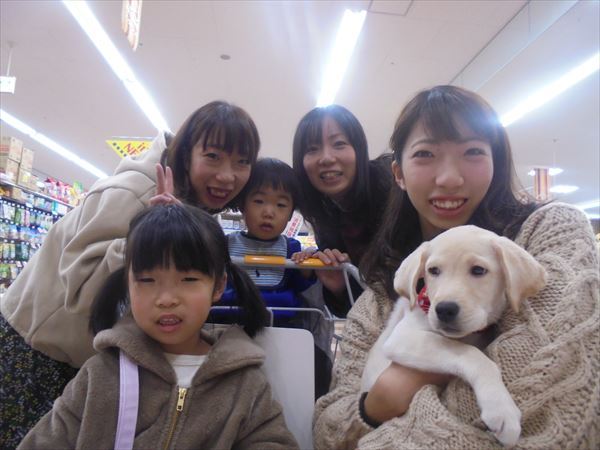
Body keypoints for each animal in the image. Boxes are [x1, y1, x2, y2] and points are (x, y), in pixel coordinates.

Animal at [361, 225, 547, 447]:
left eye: (478, 270)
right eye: (433, 271)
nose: (444, 310)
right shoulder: (403, 337)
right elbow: (472, 355)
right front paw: (501, 408)